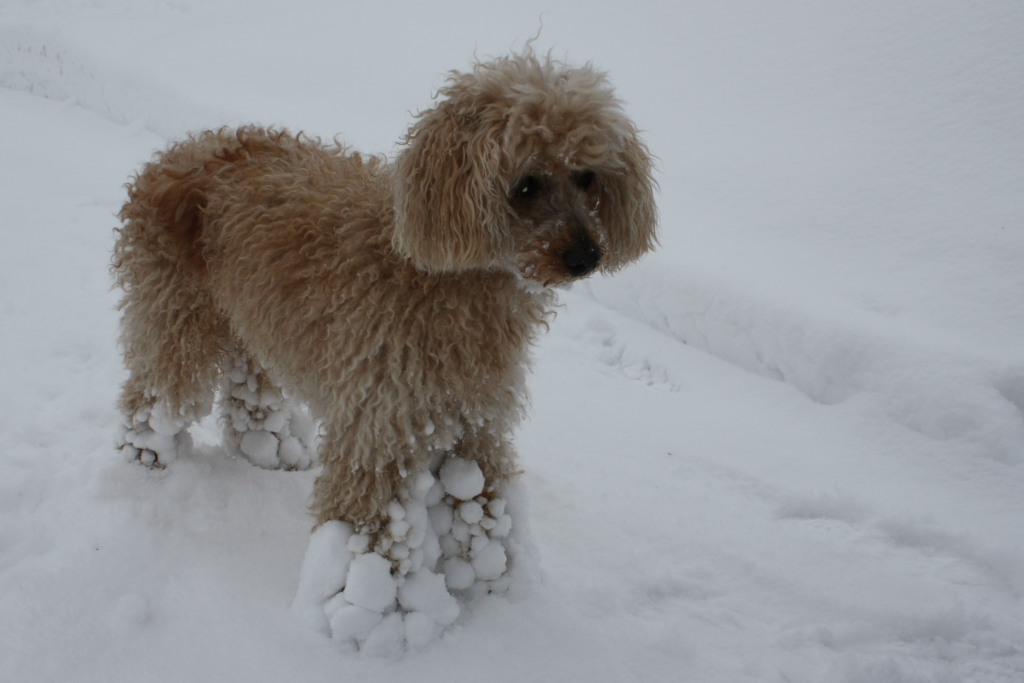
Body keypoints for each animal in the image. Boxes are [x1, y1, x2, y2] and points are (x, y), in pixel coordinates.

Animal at [113, 51, 655, 565]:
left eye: (586, 176)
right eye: (526, 185)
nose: (587, 256)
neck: (443, 273)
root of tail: (179, 153)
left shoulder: (476, 417)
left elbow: (481, 500)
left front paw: (492, 571)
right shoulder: (377, 423)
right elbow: (367, 521)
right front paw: (362, 594)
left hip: (251, 319)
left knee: (251, 384)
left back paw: (269, 450)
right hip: (175, 316)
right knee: (156, 393)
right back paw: (145, 459)